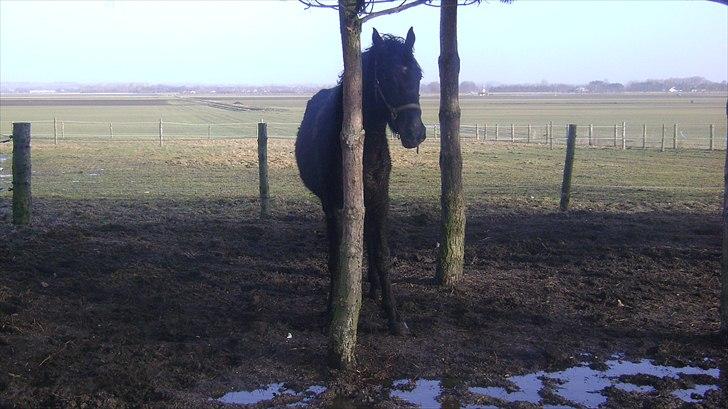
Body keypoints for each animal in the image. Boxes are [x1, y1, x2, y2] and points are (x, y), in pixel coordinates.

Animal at [294, 27, 424, 334]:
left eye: (418, 75)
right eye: (387, 76)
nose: (416, 133)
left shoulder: (379, 200)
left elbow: (381, 255)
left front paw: (394, 317)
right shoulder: (333, 206)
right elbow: (337, 258)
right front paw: (331, 312)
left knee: (369, 244)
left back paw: (374, 290)